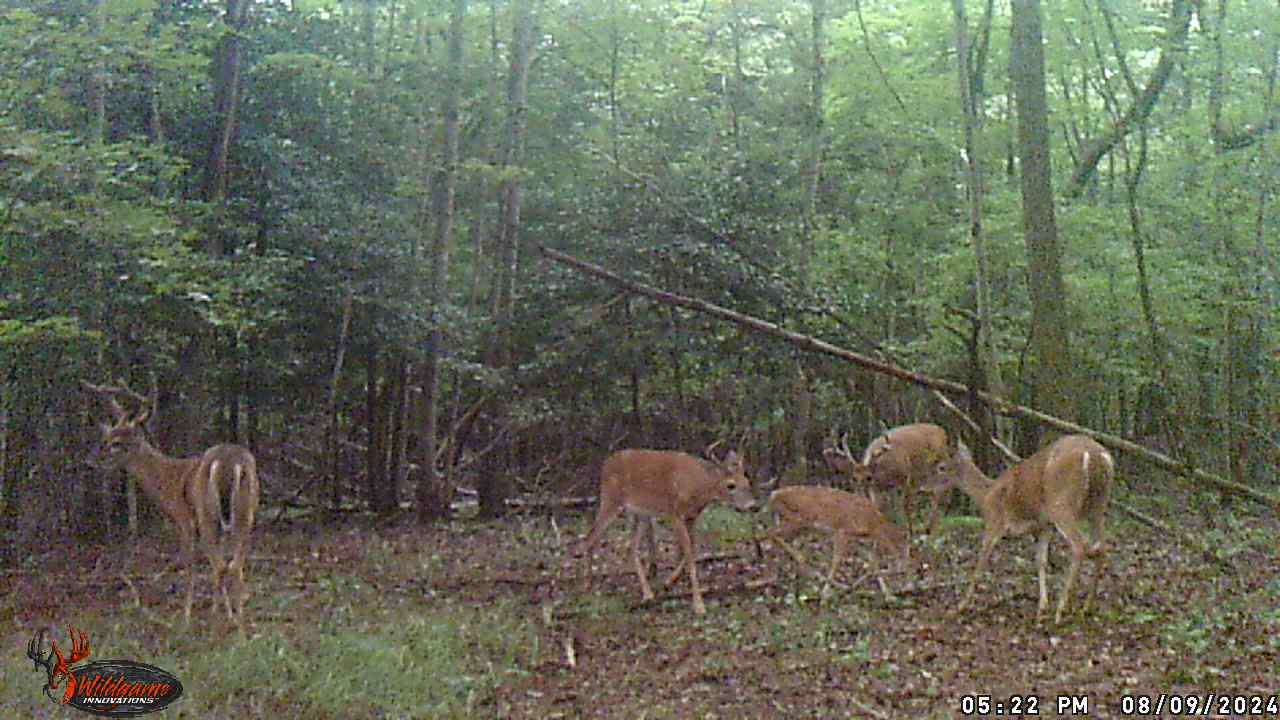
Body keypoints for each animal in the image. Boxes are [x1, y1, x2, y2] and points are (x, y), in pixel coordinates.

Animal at [83, 376, 259, 622]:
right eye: (106, 437)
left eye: (116, 443)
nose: (89, 461)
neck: (169, 482)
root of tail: (229, 462)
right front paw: (229, 610)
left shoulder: (185, 519)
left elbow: (188, 564)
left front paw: (186, 614)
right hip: (245, 512)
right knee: (235, 566)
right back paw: (239, 621)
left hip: (207, 514)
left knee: (219, 566)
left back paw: (216, 619)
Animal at [573, 445, 757, 614]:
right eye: (731, 485)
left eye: (747, 482)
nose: (753, 506)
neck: (699, 487)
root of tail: (606, 464)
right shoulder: (675, 513)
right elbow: (689, 553)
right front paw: (699, 605)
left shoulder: (691, 517)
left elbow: (691, 550)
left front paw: (669, 582)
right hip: (611, 500)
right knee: (590, 536)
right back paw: (587, 585)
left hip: (642, 514)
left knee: (631, 546)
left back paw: (647, 594)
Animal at [757, 481, 911, 599]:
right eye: (903, 549)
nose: (905, 568)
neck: (872, 523)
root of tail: (773, 495)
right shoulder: (842, 531)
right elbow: (836, 561)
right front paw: (827, 592)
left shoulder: (860, 539)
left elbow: (873, 562)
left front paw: (888, 594)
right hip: (796, 521)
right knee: (768, 533)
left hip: (800, 526)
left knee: (768, 537)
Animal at [824, 420, 957, 532]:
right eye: (854, 478)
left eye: (868, 477)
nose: (861, 493)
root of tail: (942, 430)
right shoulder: (876, 489)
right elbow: (878, 508)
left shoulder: (906, 479)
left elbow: (905, 507)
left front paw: (909, 531)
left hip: (939, 465)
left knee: (942, 490)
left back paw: (933, 525)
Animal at [926, 430, 1116, 622]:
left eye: (941, 467)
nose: (926, 488)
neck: (986, 495)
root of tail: (1096, 455)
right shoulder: (1044, 526)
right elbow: (1041, 561)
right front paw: (1042, 606)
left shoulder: (994, 521)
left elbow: (981, 562)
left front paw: (960, 606)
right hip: (1098, 505)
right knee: (1102, 546)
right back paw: (1086, 606)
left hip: (1061, 503)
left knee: (1080, 545)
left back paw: (1062, 609)